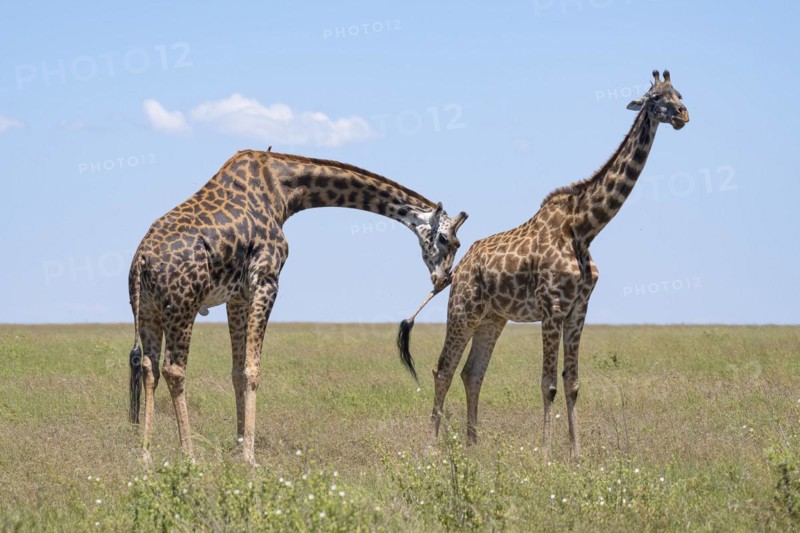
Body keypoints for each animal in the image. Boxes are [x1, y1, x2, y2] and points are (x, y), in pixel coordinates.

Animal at [128, 150, 468, 465]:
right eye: (446, 240)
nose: (443, 279)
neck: (283, 191)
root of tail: (141, 259)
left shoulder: (238, 295)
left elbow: (238, 370)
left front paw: (239, 450)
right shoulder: (266, 280)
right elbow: (252, 369)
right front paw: (250, 458)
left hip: (147, 310)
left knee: (148, 367)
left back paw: (145, 456)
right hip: (181, 307)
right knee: (173, 369)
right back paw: (189, 456)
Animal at [398, 70, 689, 461]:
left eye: (679, 93)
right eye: (656, 98)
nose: (683, 115)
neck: (584, 228)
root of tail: (457, 269)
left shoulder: (579, 309)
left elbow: (573, 382)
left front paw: (577, 454)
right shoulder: (552, 307)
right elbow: (548, 383)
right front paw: (548, 453)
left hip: (493, 318)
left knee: (472, 373)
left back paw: (474, 446)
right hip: (463, 309)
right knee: (443, 368)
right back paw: (431, 447)